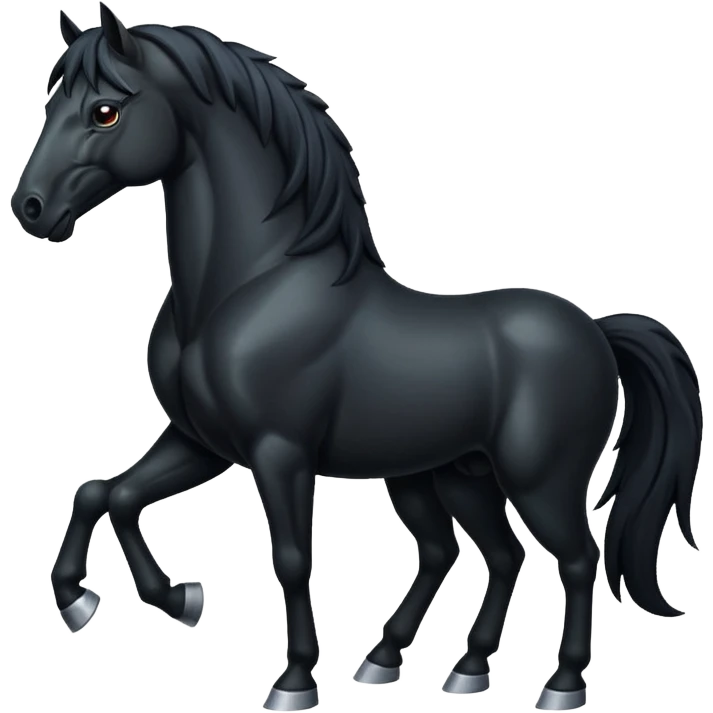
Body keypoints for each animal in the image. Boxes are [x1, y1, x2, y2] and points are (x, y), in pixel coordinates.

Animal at [13, 5, 703, 712]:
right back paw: (430, 665)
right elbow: (106, 492)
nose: (30, 208)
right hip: (450, 476)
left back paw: (560, 685)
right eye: (50, 102)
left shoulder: (278, 452)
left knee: (574, 559)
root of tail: (595, 329)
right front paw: (137, 600)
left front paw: (292, 681)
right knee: (478, 553)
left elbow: (291, 559)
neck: (247, 287)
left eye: (105, 111)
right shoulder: (200, 441)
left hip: (540, 481)